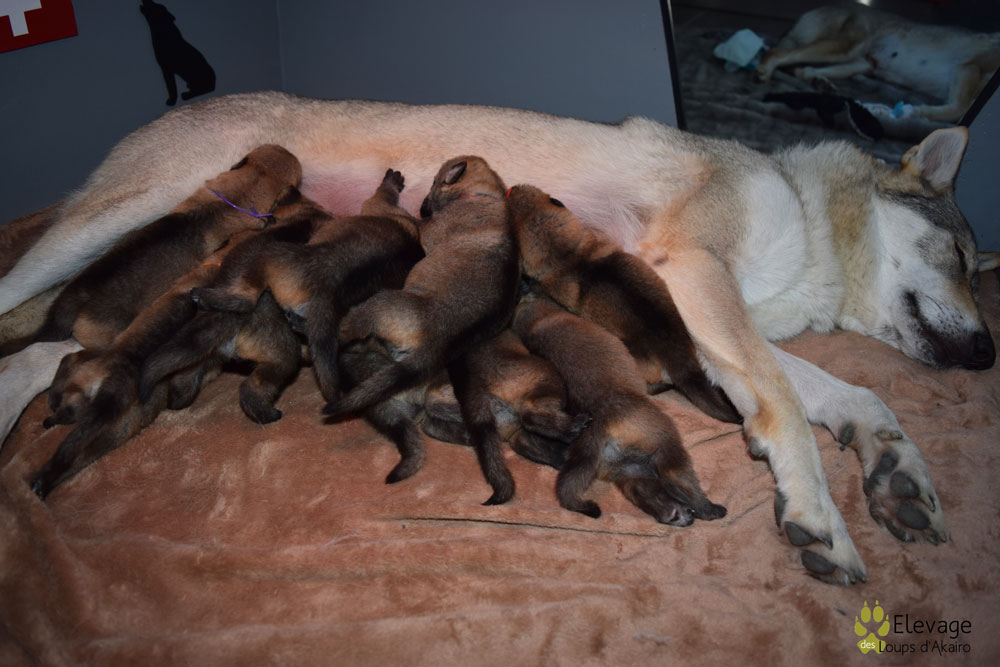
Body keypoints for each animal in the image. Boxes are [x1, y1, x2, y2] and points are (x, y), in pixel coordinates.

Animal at [755, 4, 1000, 123]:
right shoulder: (968, 67)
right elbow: (959, 109)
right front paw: (917, 112)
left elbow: (961, 109)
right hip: (843, 47)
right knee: (778, 53)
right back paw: (763, 72)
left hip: (858, 63)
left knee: (803, 70)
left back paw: (821, 84)